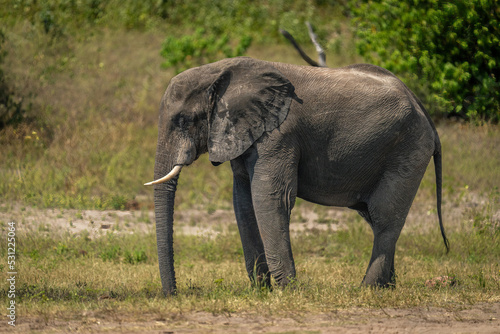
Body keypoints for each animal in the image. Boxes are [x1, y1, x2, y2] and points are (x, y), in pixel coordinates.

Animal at [146, 56, 450, 296]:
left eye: (185, 121)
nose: (174, 294)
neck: (220, 71)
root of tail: (427, 118)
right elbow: (243, 203)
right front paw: (262, 291)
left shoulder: (280, 134)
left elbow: (271, 199)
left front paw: (286, 291)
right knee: (375, 218)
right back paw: (388, 287)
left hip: (408, 149)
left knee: (384, 216)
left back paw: (367, 290)